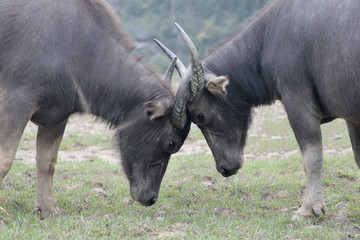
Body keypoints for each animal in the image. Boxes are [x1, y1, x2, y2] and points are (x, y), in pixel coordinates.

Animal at [0, 0, 190, 217]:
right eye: (171, 143)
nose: (150, 198)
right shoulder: (17, 102)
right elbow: (5, 159)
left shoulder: (57, 116)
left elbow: (47, 161)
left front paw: (48, 209)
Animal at [156, 0, 360, 218]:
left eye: (200, 116)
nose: (224, 168)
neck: (265, 41)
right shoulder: (352, 118)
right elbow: (357, 157)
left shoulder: (298, 105)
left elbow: (312, 157)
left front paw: (308, 209)